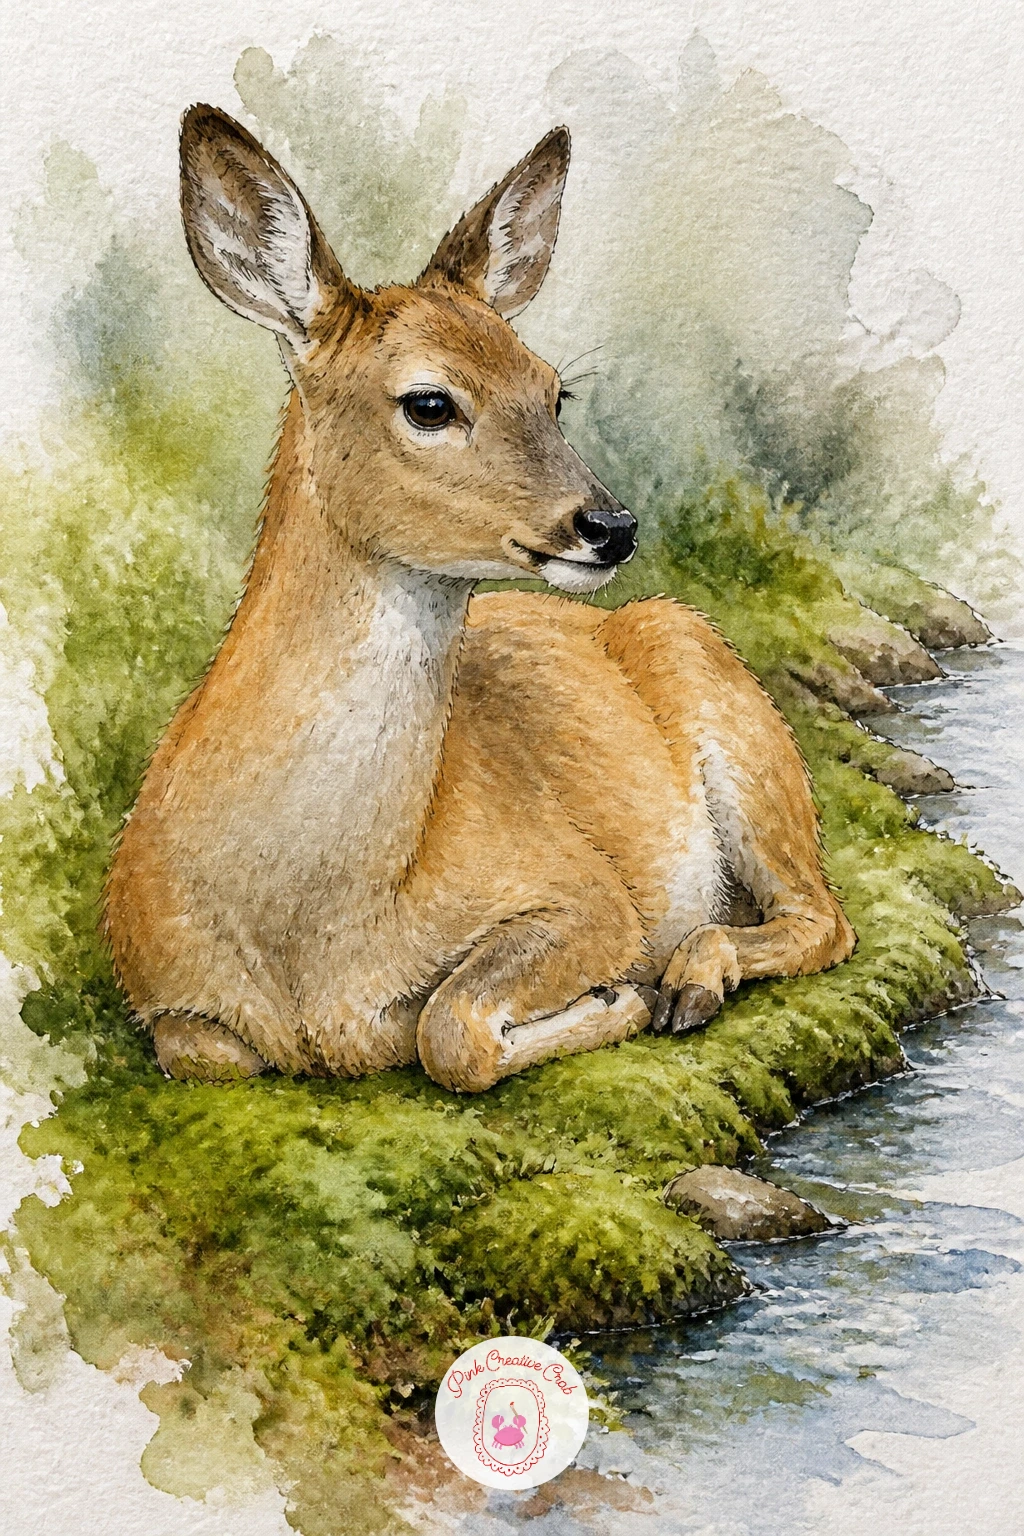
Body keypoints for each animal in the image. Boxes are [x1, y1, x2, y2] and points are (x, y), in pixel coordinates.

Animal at [104, 105, 855, 1094]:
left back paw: (691, 979)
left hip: (722, 692)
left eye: (554, 392)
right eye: (429, 402)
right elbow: (211, 1052)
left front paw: (619, 997)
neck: (309, 933)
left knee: (822, 917)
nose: (610, 525)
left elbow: (447, 1030)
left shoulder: (586, 892)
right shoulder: (162, 993)